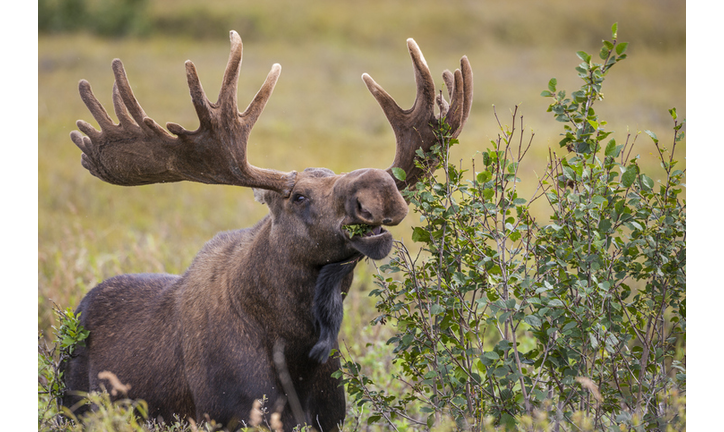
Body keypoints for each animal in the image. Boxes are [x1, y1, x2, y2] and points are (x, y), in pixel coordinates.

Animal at [59, 31, 472, 432]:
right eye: (299, 195)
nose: (380, 186)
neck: (298, 348)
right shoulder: (233, 414)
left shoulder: (330, 418)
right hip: (72, 404)